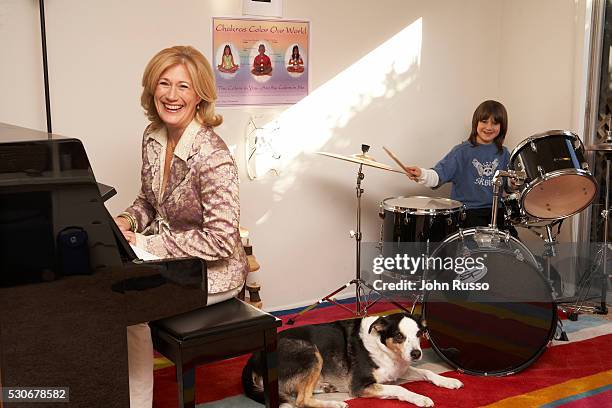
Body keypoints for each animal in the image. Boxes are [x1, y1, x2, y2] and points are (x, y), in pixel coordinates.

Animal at [241, 314, 462, 406]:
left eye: (419, 333)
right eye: (399, 336)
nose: (416, 354)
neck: (382, 346)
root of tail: (253, 357)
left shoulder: (400, 368)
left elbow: (427, 372)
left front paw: (448, 380)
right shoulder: (360, 385)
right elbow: (399, 389)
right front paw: (420, 398)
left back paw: (326, 387)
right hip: (311, 352)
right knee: (301, 400)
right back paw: (334, 404)